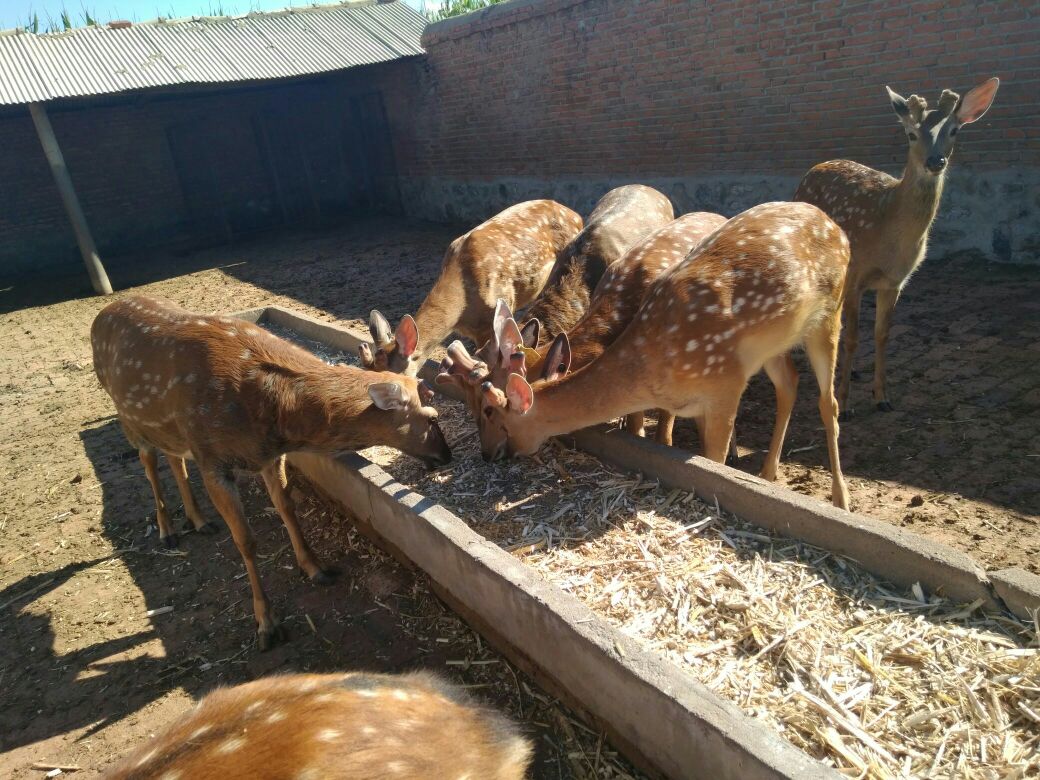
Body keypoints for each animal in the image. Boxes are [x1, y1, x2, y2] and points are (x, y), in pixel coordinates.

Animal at [90, 295, 447, 648]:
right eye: (432, 416)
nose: (447, 455)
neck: (276, 418)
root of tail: (100, 314)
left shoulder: (268, 457)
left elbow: (287, 508)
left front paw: (316, 568)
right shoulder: (211, 460)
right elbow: (246, 540)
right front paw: (267, 623)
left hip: (169, 430)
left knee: (173, 459)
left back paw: (199, 521)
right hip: (128, 417)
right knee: (148, 462)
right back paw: (167, 530)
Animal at [447, 201, 852, 509]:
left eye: (492, 411)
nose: (488, 454)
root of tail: (835, 225)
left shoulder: (725, 385)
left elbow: (710, 459)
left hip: (830, 314)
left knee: (827, 401)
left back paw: (840, 498)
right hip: (776, 343)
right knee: (790, 382)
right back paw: (769, 473)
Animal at [794, 78, 998, 418]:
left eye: (954, 130)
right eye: (911, 133)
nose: (935, 161)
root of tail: (812, 169)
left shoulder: (895, 281)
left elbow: (882, 335)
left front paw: (881, 397)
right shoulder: (856, 274)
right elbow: (853, 337)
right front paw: (845, 404)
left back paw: (850, 371)